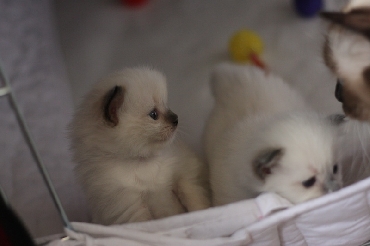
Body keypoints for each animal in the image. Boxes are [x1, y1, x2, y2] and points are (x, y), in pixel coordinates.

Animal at [68, 67, 210, 225]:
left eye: (166, 105)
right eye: (153, 114)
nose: (176, 119)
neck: (142, 162)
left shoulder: (185, 173)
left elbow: (193, 198)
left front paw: (205, 212)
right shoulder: (129, 205)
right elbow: (146, 222)